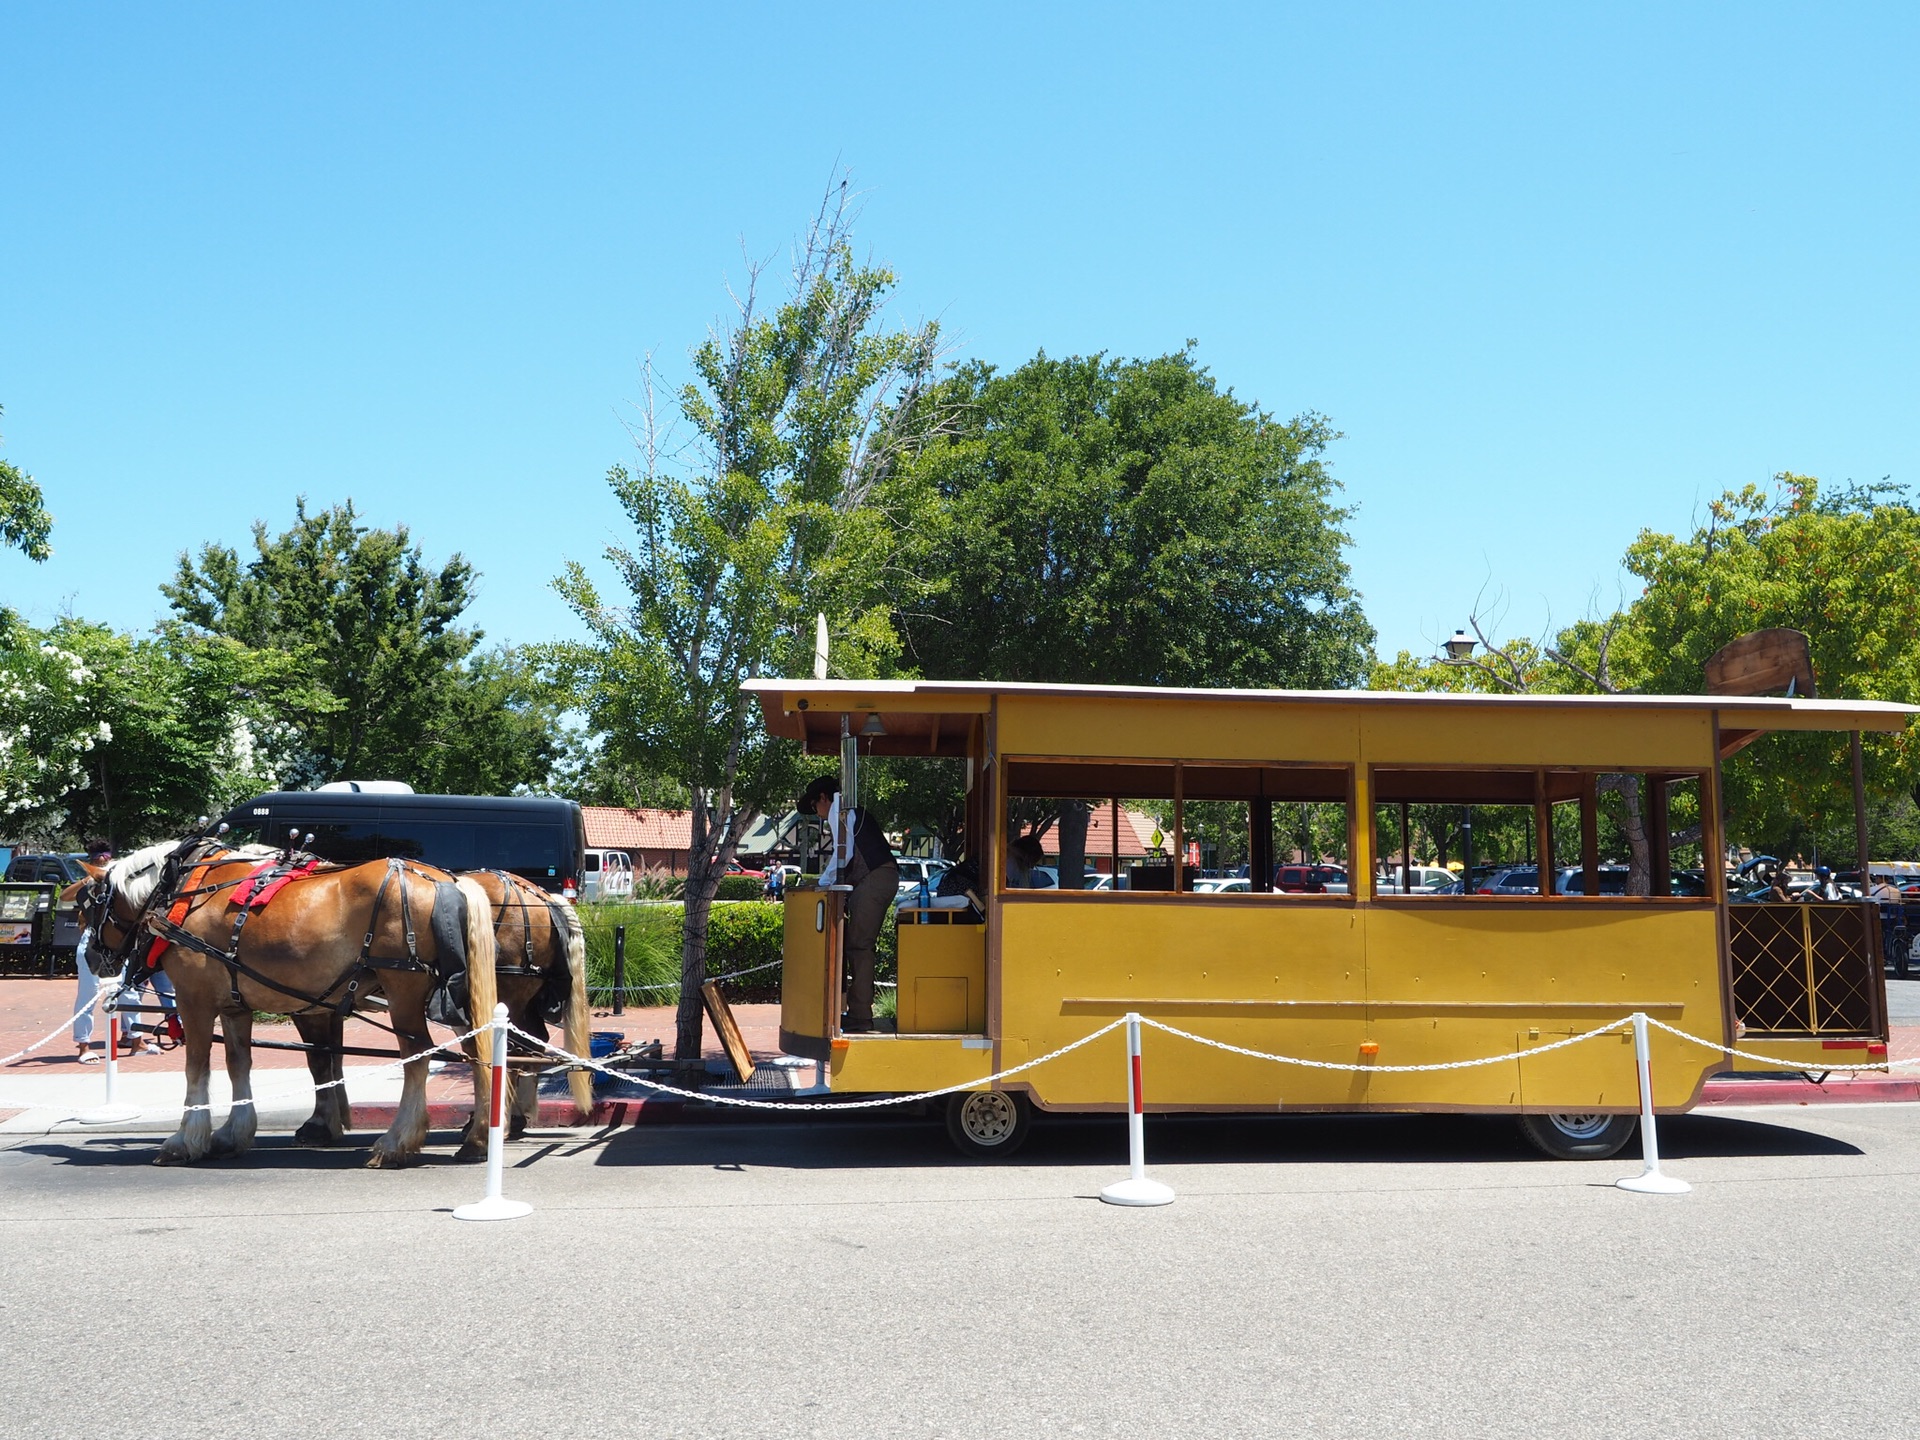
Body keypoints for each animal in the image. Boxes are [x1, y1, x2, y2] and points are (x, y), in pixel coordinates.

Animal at [82, 840, 503, 1167]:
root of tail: (449, 881)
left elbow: (196, 1069)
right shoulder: (235, 1005)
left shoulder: (194, 999)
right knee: (479, 1051)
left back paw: (397, 1142)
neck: (186, 891)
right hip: (457, 995)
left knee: (418, 1056)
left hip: (404, 992)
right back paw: (478, 1138)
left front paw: (185, 1141)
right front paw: (232, 1134)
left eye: (89, 906)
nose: (89, 957)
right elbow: (239, 1064)